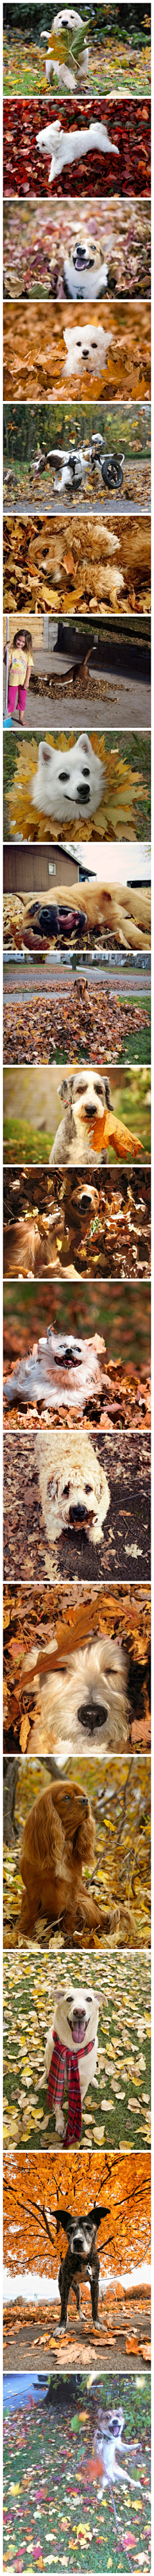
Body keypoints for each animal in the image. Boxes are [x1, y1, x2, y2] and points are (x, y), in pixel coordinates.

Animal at [19, 1782, 104, 1937]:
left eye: (83, 1795)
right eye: (66, 1798)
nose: (85, 1800)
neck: (63, 1844)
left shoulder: (73, 1889)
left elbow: (70, 1913)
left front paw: (70, 1935)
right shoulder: (32, 1890)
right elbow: (32, 1915)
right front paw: (27, 1936)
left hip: (85, 1902)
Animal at [36, 116, 119, 184]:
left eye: (43, 144)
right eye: (38, 142)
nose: (37, 147)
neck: (60, 144)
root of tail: (97, 131)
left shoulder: (68, 157)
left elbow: (60, 162)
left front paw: (57, 171)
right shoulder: (55, 158)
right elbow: (53, 166)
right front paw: (52, 177)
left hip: (104, 146)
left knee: (112, 147)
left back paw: (117, 152)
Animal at [44, 1978, 99, 2143]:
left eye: (89, 1999)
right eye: (69, 1999)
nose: (79, 2011)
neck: (73, 2051)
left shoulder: (82, 2087)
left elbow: (75, 2106)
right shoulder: (57, 2081)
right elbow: (57, 2106)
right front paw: (60, 2125)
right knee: (45, 2072)